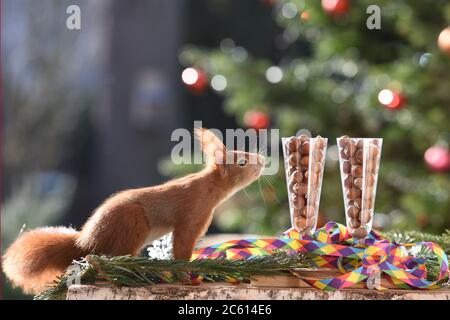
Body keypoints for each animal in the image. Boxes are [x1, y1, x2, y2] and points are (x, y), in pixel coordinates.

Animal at [1, 129, 266, 294]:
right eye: (242, 161)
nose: (263, 160)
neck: (208, 187)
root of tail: (87, 240)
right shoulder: (190, 218)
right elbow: (181, 249)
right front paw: (187, 280)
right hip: (133, 223)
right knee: (108, 259)